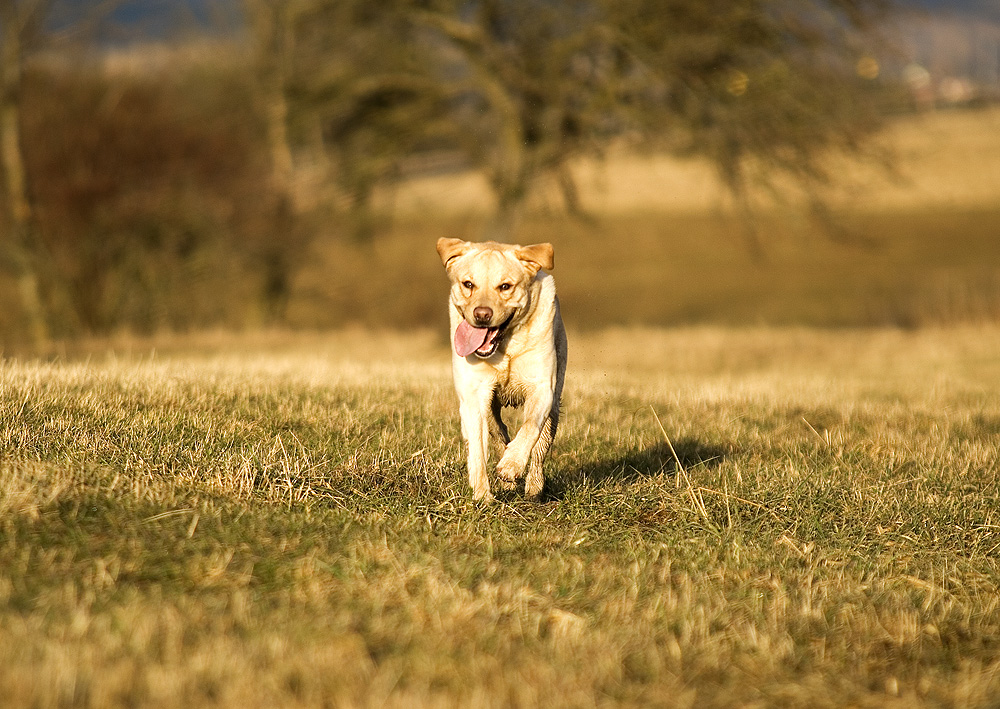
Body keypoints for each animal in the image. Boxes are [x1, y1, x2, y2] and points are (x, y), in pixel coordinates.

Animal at [436, 239, 568, 504]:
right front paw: (482, 496)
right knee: (497, 432)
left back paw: (533, 487)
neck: (505, 346)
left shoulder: (542, 388)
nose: (482, 315)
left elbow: (529, 428)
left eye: (505, 286)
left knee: (540, 448)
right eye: (468, 284)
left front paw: (511, 466)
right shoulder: (474, 395)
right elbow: (478, 449)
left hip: (555, 405)